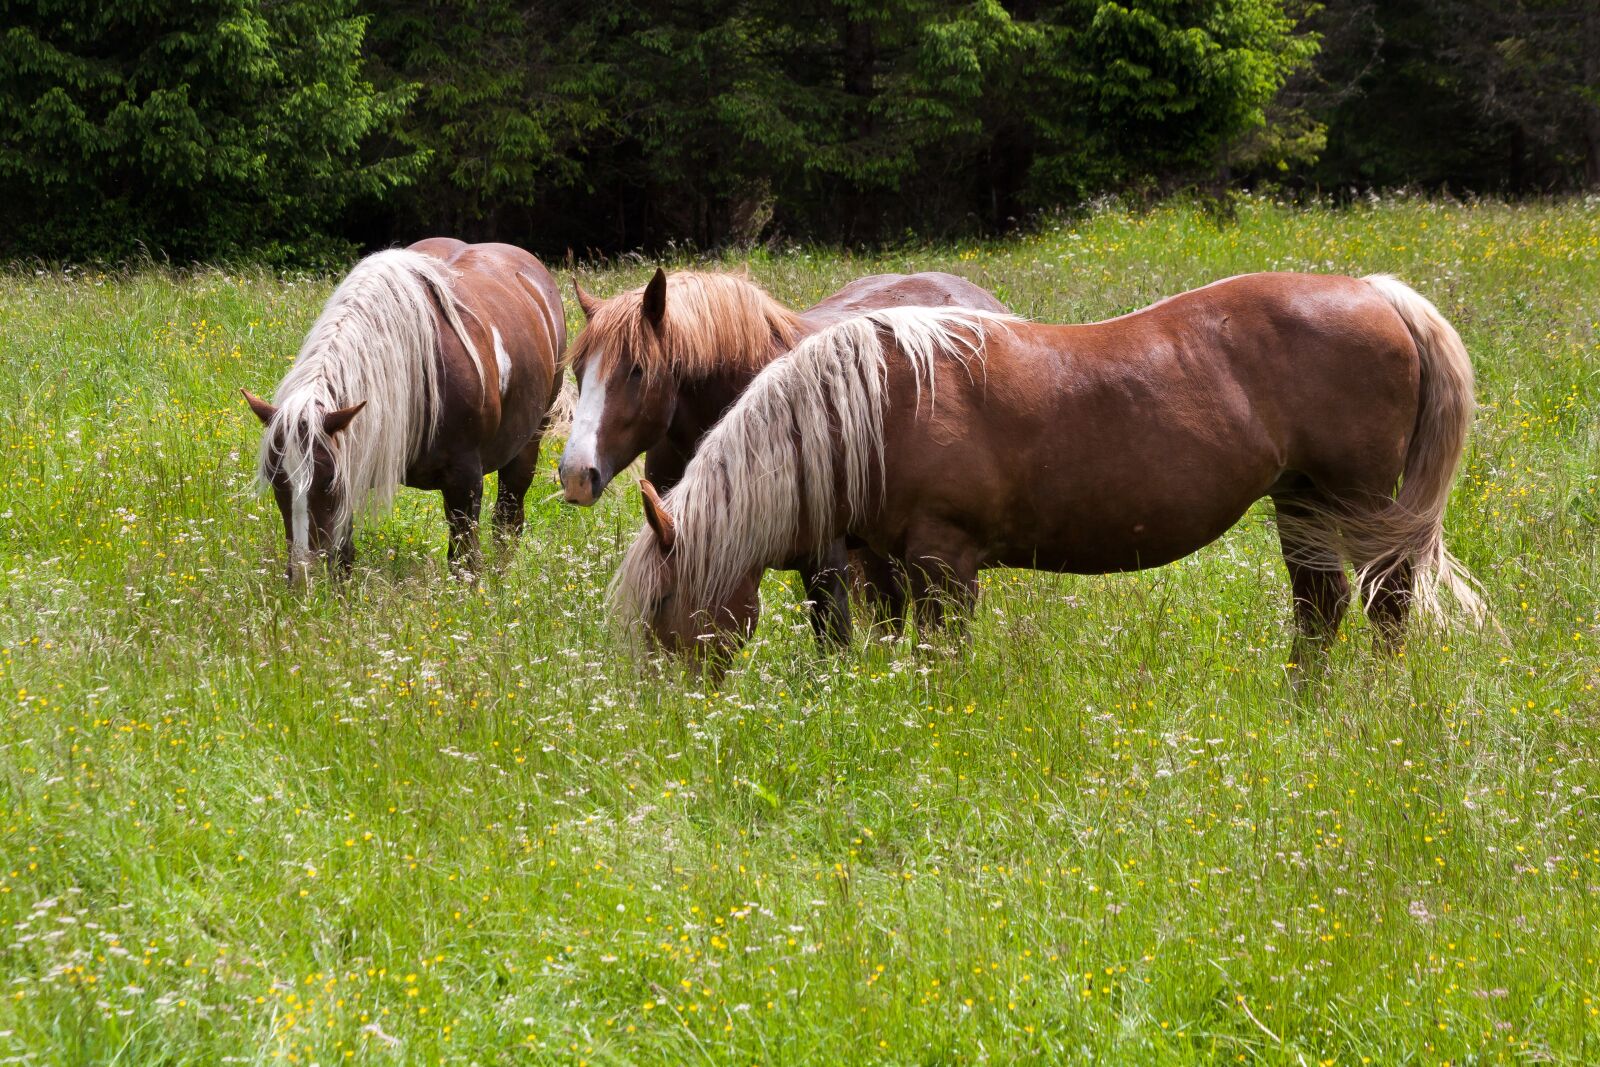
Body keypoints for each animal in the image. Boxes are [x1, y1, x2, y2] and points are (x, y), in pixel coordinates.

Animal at [242, 238, 565, 582]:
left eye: (326, 480)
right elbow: (344, 557)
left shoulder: (465, 480)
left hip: (527, 447)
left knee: (507, 521)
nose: (304, 577)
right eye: (276, 480)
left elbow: (465, 562)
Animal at [611, 273, 1486, 668]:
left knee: (1386, 603)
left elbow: (944, 658)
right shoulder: (888, 563)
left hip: (1359, 502)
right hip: (1299, 502)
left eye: (660, 607)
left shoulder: (945, 563)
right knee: (1321, 608)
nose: (669, 718)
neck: (877, 407)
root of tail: (1375, 293)